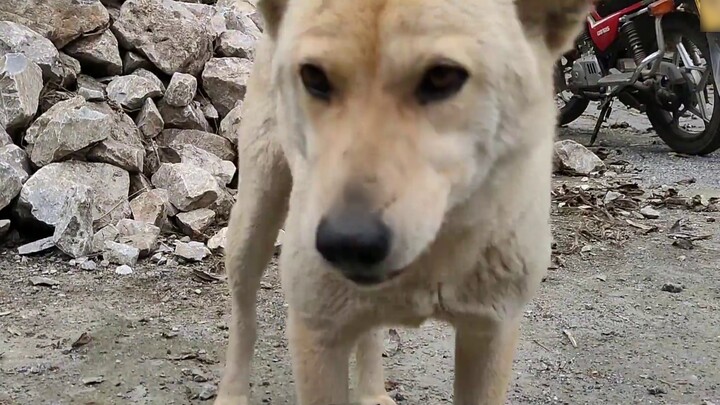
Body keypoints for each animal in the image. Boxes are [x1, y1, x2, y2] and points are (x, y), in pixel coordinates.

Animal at [217, 0, 588, 404]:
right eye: (313, 76)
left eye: (442, 77)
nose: (347, 243)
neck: (432, 258)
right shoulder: (316, 335)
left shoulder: (491, 332)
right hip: (253, 221)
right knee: (243, 315)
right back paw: (232, 393)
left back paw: (372, 392)